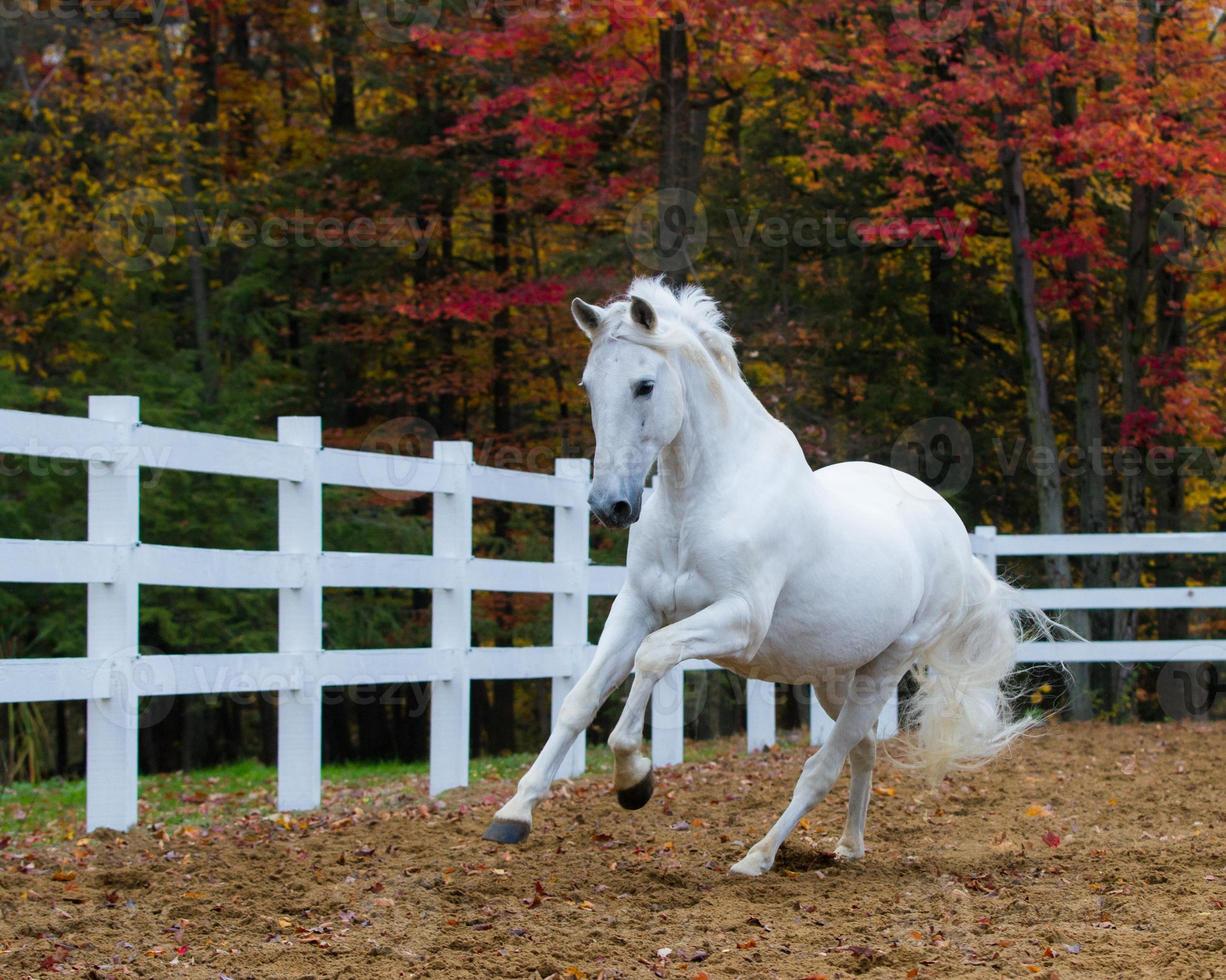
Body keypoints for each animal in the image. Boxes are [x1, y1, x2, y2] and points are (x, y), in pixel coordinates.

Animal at [483, 276, 1044, 875]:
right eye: (589, 386)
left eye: (644, 385)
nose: (609, 505)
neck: (701, 498)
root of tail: (954, 536)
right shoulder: (637, 606)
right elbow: (579, 700)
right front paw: (513, 814)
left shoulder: (739, 620)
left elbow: (652, 657)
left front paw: (634, 780)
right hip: (834, 675)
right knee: (863, 749)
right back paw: (849, 847)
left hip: (883, 670)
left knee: (823, 767)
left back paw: (758, 856)